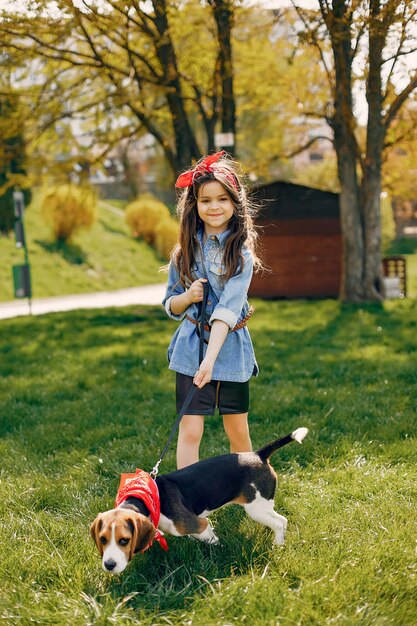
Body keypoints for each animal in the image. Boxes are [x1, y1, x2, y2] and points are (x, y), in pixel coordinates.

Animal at [90, 426, 306, 572]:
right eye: (103, 539)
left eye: (124, 540)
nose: (109, 565)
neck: (146, 498)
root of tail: (258, 455)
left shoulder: (198, 524)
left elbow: (210, 538)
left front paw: (217, 550)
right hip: (262, 507)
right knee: (280, 520)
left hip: (256, 508)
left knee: (280, 522)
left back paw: (278, 545)